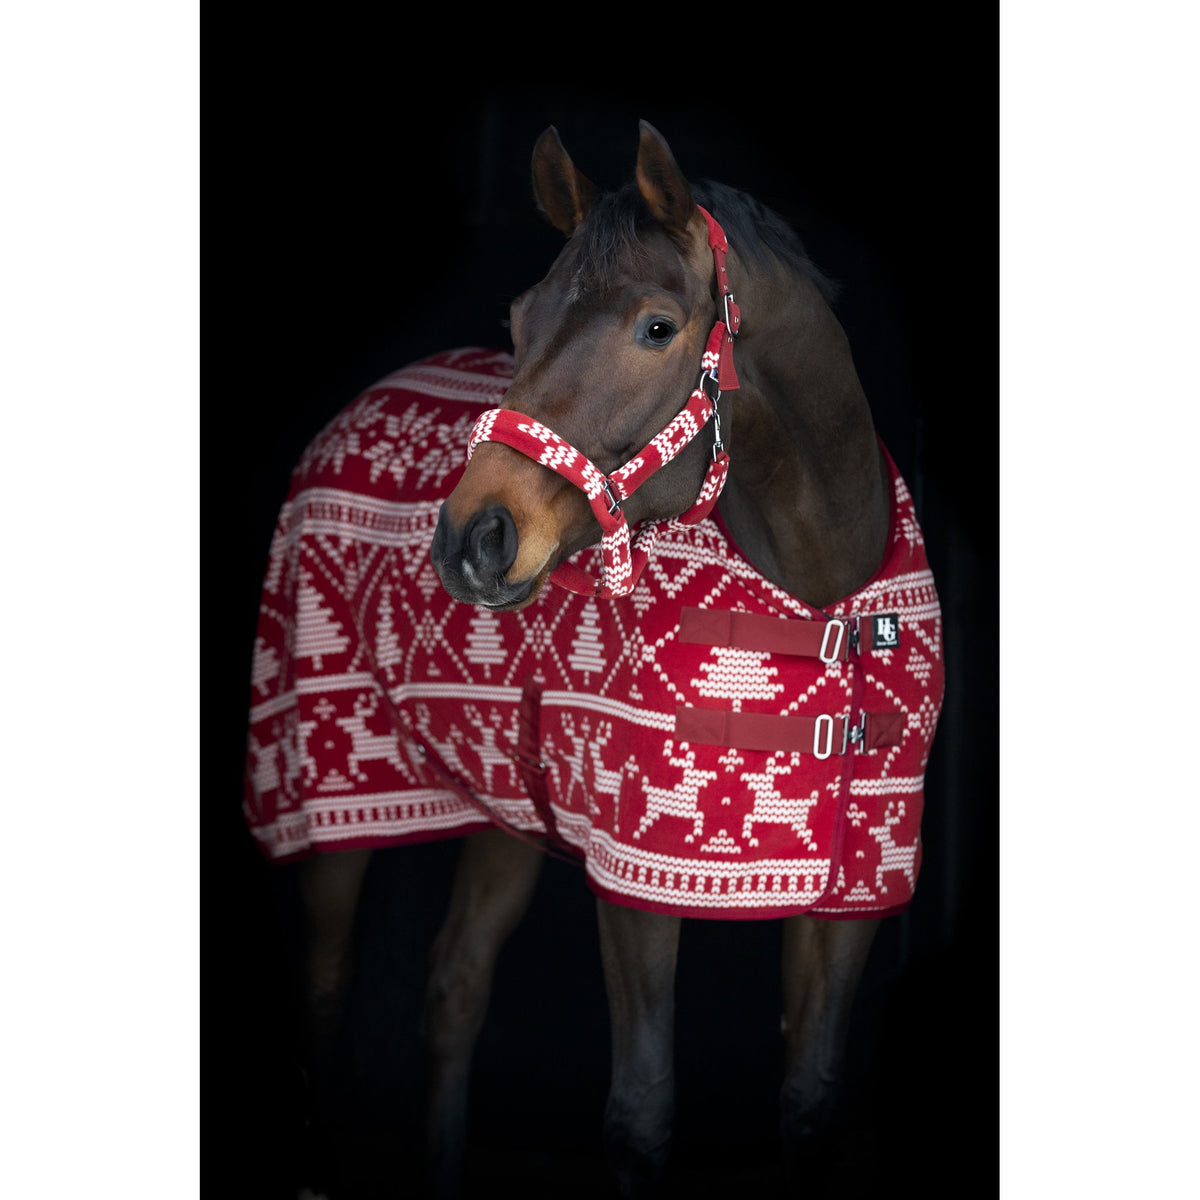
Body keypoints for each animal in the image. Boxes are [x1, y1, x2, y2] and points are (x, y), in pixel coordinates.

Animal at [244, 121, 943, 1197]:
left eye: (658, 327)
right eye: (519, 317)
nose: (473, 539)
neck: (826, 594)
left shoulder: (860, 891)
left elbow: (812, 1099)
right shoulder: (635, 883)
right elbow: (641, 1111)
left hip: (506, 803)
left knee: (455, 987)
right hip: (326, 802)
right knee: (324, 997)